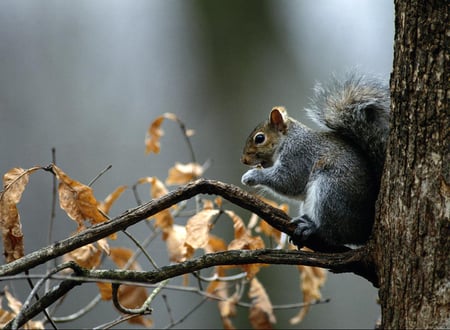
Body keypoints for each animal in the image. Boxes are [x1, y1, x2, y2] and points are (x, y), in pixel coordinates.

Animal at [239, 73, 390, 253]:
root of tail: (365, 228)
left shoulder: (298, 156)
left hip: (331, 191)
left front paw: (252, 175)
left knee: (332, 233)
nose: (244, 160)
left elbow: (288, 181)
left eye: (260, 138)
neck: (288, 139)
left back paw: (312, 228)